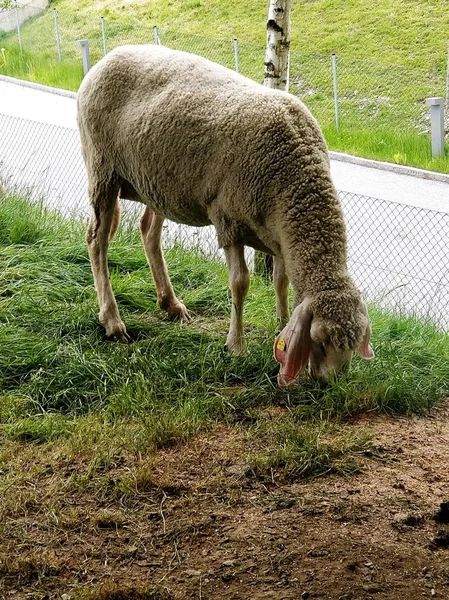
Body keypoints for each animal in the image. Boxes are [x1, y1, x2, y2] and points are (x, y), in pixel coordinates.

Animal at [77, 44, 374, 386]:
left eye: (354, 344)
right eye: (321, 341)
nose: (330, 384)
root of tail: (109, 56)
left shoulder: (277, 235)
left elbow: (281, 282)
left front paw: (281, 325)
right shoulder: (227, 220)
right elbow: (240, 283)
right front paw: (236, 345)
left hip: (156, 181)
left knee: (148, 231)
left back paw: (171, 304)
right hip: (103, 169)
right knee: (97, 240)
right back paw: (113, 321)